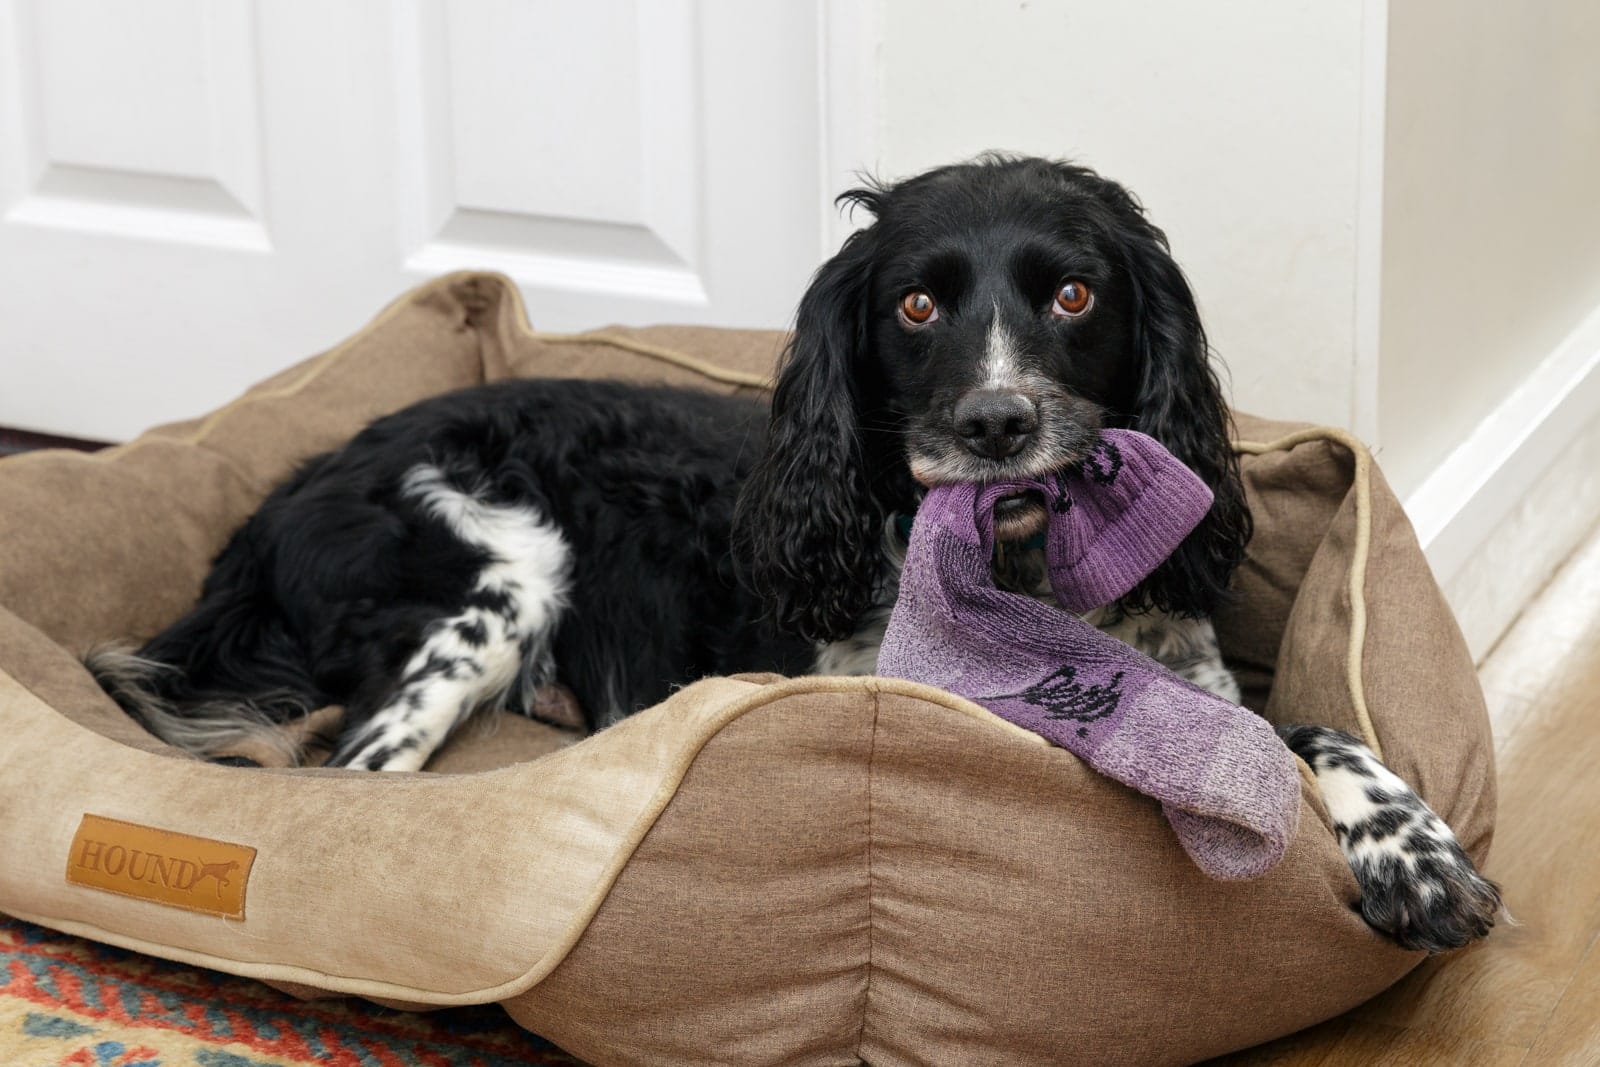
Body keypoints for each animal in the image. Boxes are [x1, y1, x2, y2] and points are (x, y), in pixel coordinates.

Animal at [90, 156, 1497, 953]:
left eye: (1075, 293)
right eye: (915, 304)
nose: (996, 424)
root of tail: (284, 493)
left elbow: (1309, 729)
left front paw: (1417, 851)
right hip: (492, 584)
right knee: (350, 781)